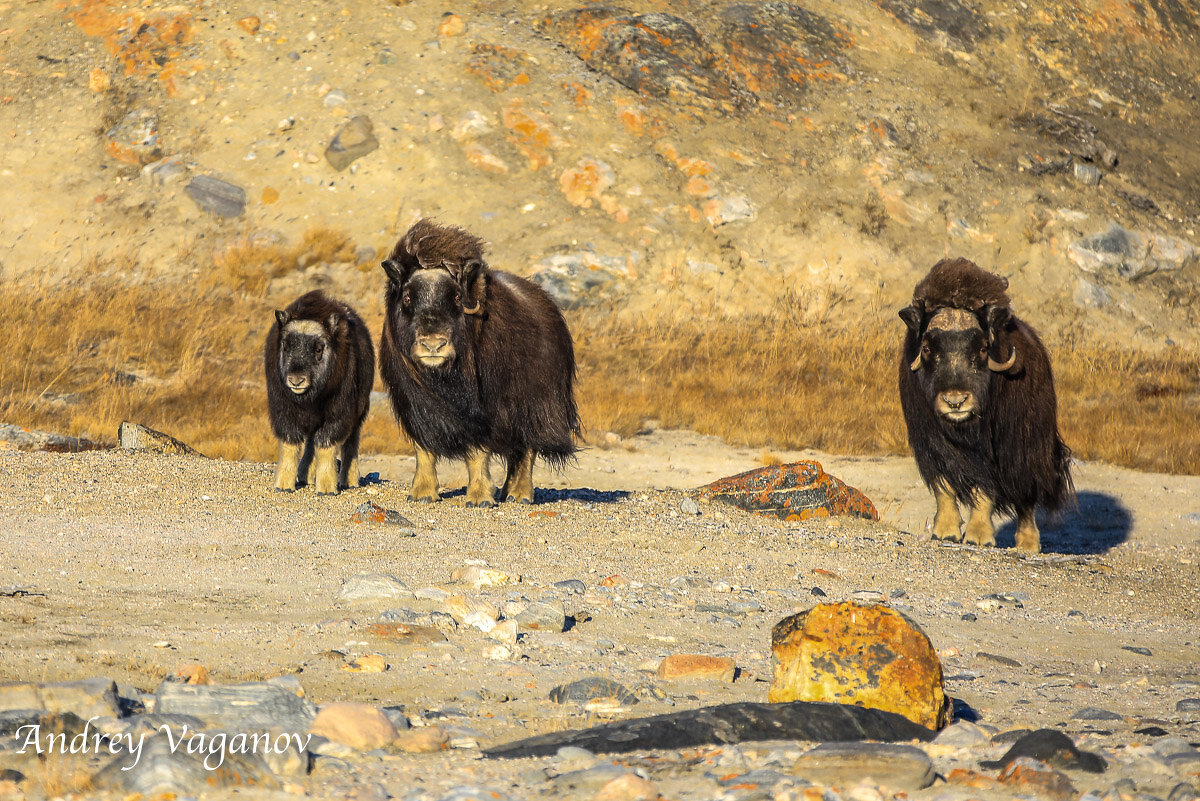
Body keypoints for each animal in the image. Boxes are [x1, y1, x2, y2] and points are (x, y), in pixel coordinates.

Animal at [265, 291, 372, 494]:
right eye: (285, 346)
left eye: (318, 348)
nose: (296, 380)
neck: (309, 400)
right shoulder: (283, 411)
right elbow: (290, 444)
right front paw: (283, 486)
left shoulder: (337, 414)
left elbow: (326, 444)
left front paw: (327, 488)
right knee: (310, 444)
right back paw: (305, 477)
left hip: (358, 414)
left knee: (350, 444)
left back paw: (349, 481)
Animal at [376, 219, 578, 506]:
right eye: (407, 297)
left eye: (457, 297)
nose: (433, 345)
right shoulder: (415, 405)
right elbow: (424, 449)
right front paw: (422, 494)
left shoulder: (484, 410)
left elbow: (477, 453)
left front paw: (479, 497)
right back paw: (506, 492)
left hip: (534, 405)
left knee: (527, 449)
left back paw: (520, 495)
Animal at [897, 256, 1075, 551]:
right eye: (927, 349)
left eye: (981, 349)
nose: (955, 402)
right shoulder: (930, 441)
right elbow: (944, 485)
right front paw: (945, 531)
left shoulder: (995, 449)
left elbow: (986, 489)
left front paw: (979, 536)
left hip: (1028, 449)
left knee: (1025, 496)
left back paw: (1028, 543)